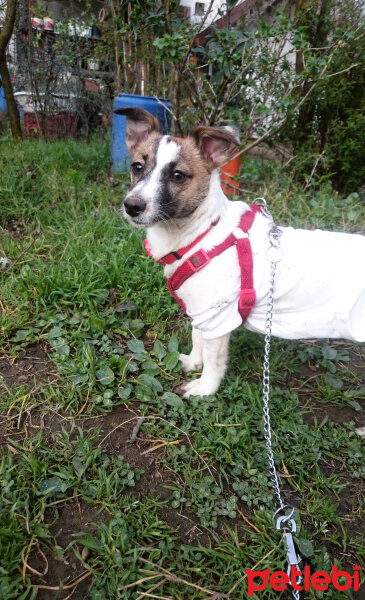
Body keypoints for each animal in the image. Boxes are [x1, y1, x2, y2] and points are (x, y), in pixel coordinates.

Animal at [116, 108, 364, 398]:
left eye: (177, 175)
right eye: (137, 167)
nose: (132, 206)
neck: (202, 232)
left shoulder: (218, 316)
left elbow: (213, 361)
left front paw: (205, 389)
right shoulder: (202, 311)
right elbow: (197, 339)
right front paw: (193, 363)